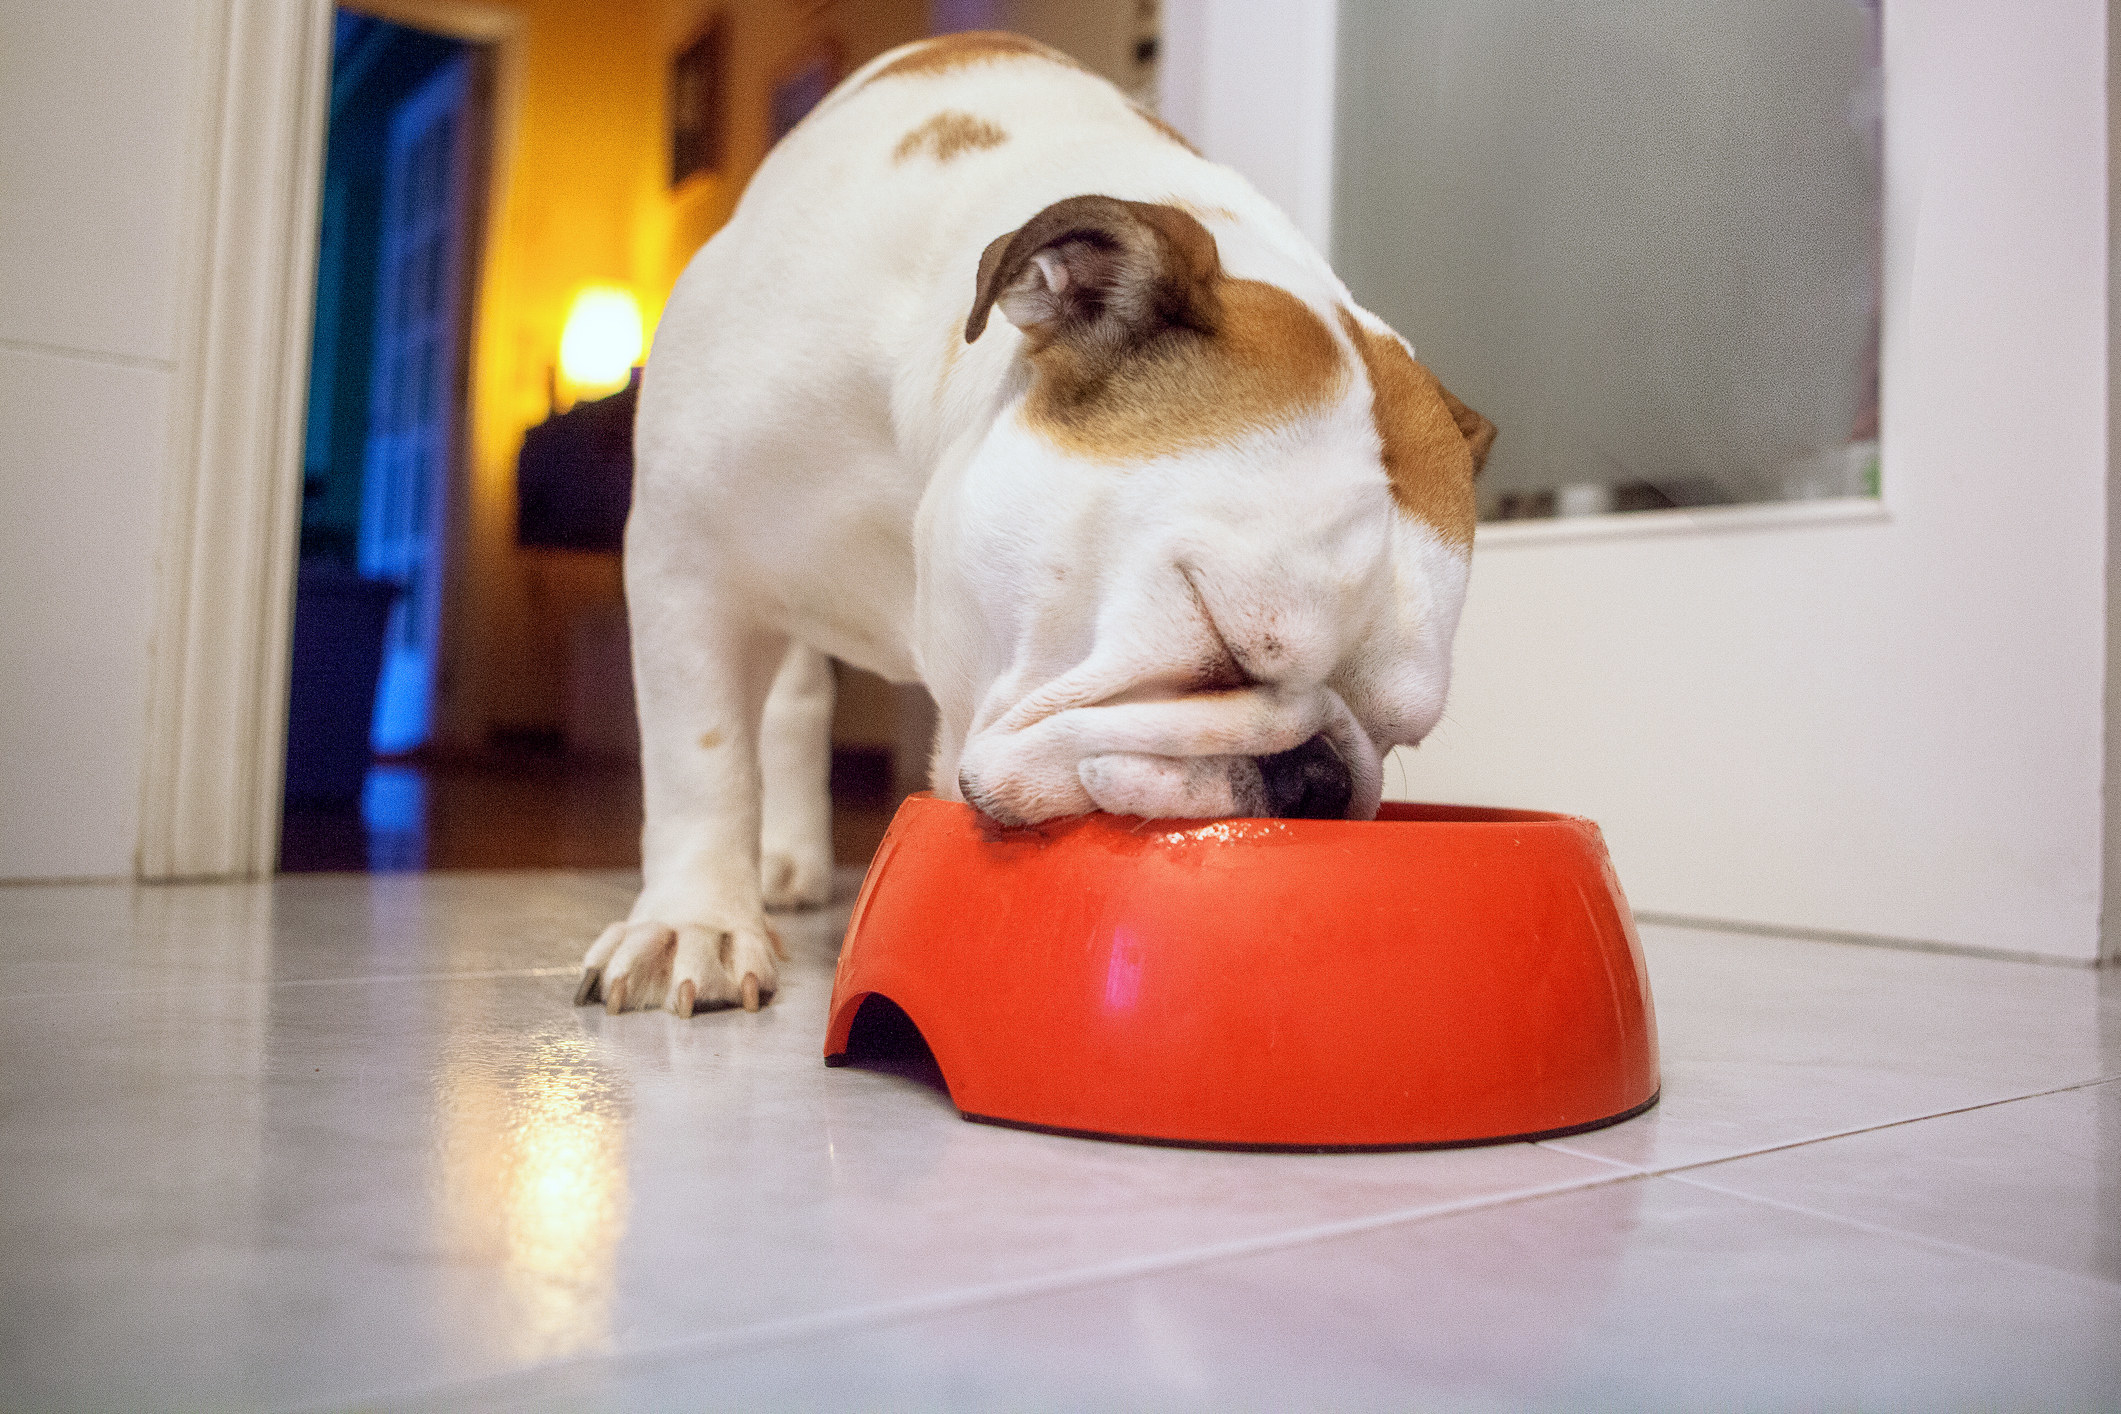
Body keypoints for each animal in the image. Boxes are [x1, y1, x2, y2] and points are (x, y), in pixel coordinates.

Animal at [568, 27, 1493, 1013]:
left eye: (1396, 733)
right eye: (1217, 634)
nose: (1314, 774)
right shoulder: (684, 552)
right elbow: (699, 754)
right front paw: (692, 922)